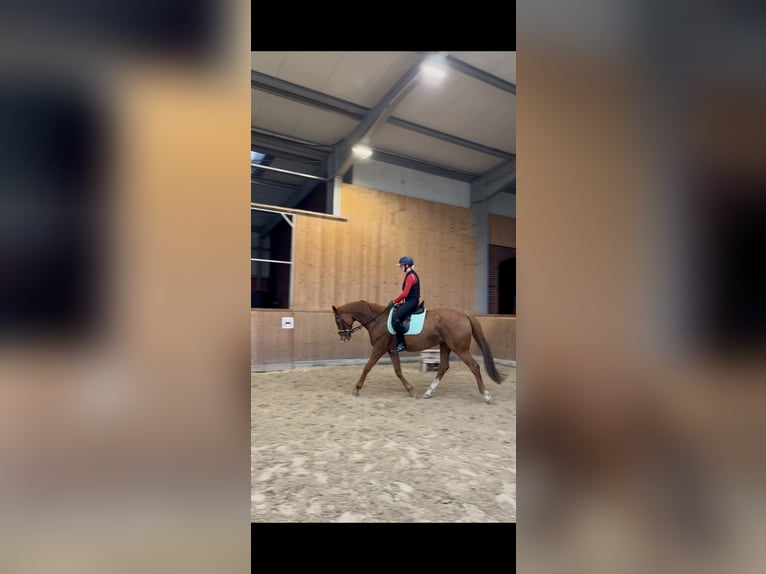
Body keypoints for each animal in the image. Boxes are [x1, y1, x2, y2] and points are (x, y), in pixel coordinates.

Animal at [331, 300, 505, 403]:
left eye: (337, 320)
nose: (343, 337)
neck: (377, 320)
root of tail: (465, 315)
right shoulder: (391, 350)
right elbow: (398, 371)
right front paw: (411, 391)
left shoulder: (379, 348)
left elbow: (367, 367)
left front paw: (356, 389)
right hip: (445, 346)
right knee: (443, 367)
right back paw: (428, 392)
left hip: (460, 349)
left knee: (474, 367)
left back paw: (486, 395)